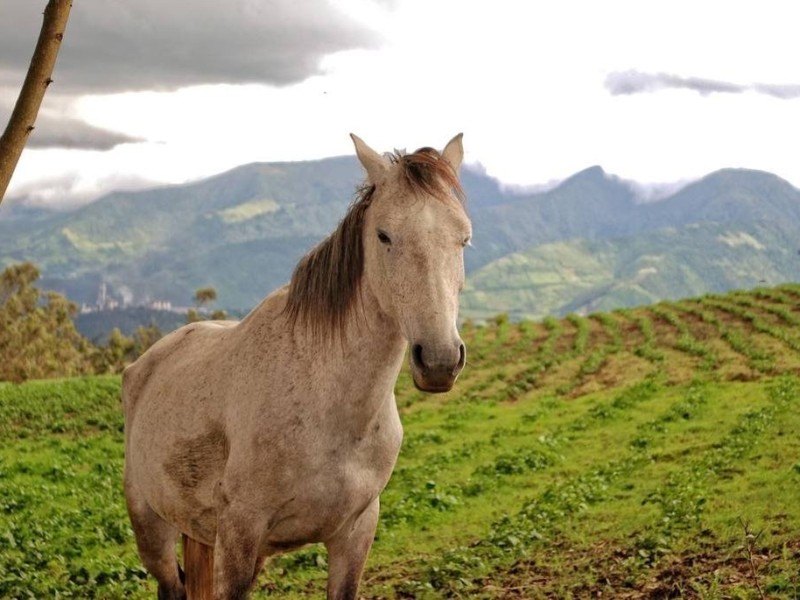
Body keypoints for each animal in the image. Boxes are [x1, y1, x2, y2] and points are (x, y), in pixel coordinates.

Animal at [122, 133, 472, 599]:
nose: (439, 360)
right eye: (384, 235)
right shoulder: (239, 534)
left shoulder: (355, 534)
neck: (326, 404)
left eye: (463, 239)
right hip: (151, 527)